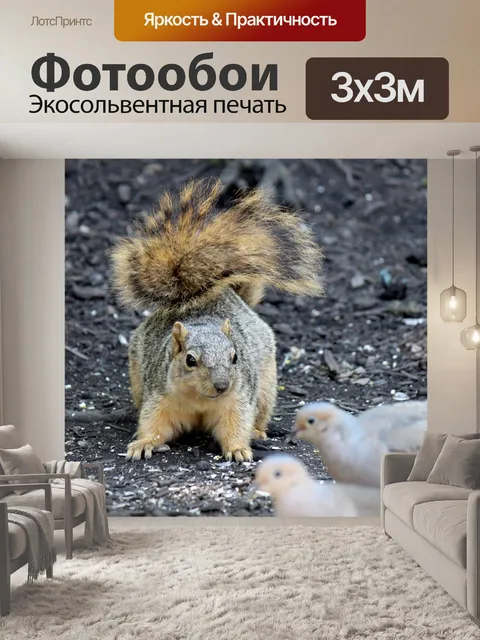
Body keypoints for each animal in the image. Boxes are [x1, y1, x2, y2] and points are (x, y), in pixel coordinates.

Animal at [110, 178, 324, 463]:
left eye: (235, 357)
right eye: (190, 360)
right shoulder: (159, 397)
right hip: (136, 376)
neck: (201, 399)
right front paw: (142, 443)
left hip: (266, 385)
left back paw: (257, 431)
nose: (222, 385)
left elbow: (236, 424)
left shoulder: (238, 399)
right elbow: (154, 424)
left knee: (260, 411)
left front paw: (238, 448)